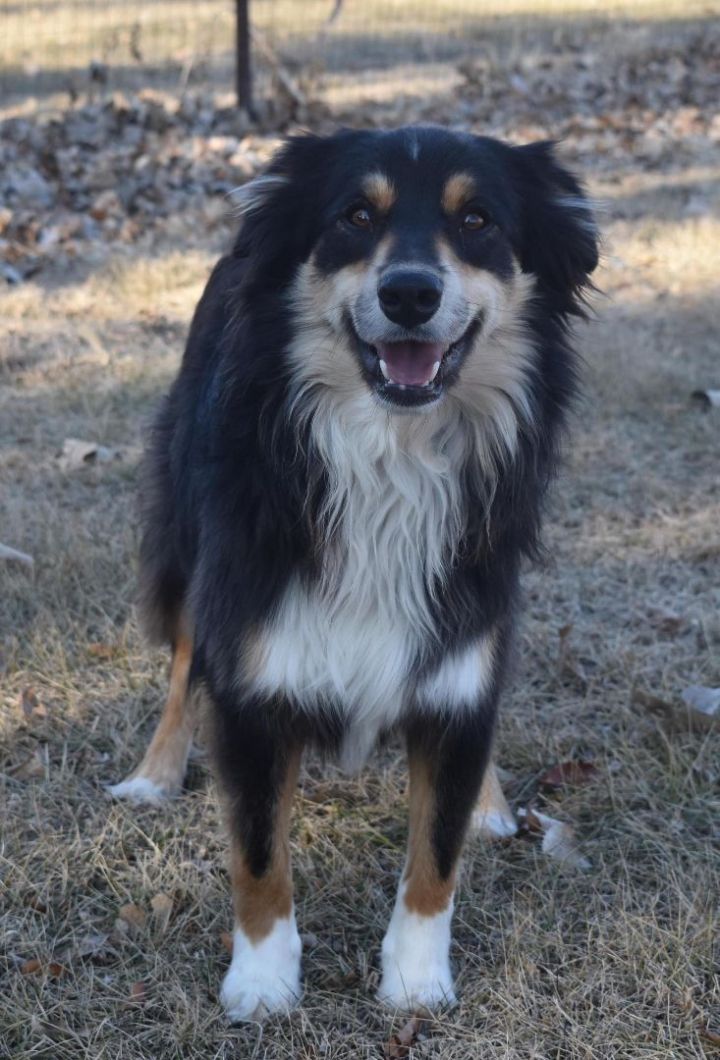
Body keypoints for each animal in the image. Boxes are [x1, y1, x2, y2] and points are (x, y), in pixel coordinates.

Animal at [111, 124, 598, 1017]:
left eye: (477, 220)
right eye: (354, 217)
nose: (409, 293)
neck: (390, 459)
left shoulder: (463, 643)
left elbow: (436, 852)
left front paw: (416, 981)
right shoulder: (253, 673)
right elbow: (258, 852)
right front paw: (262, 981)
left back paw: (488, 802)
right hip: (191, 538)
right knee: (183, 666)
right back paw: (154, 774)